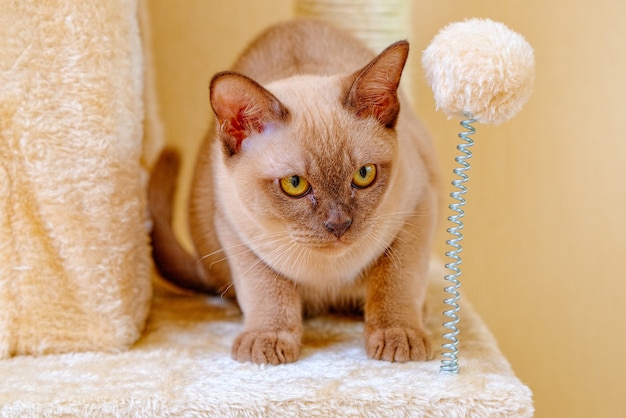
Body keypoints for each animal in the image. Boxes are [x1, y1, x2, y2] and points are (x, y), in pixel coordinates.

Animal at [148, 19, 436, 364]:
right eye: (295, 184)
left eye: (364, 175)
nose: (339, 226)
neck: (328, 274)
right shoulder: (236, 232)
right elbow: (268, 291)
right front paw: (268, 340)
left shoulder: (417, 210)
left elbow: (396, 282)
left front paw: (398, 337)